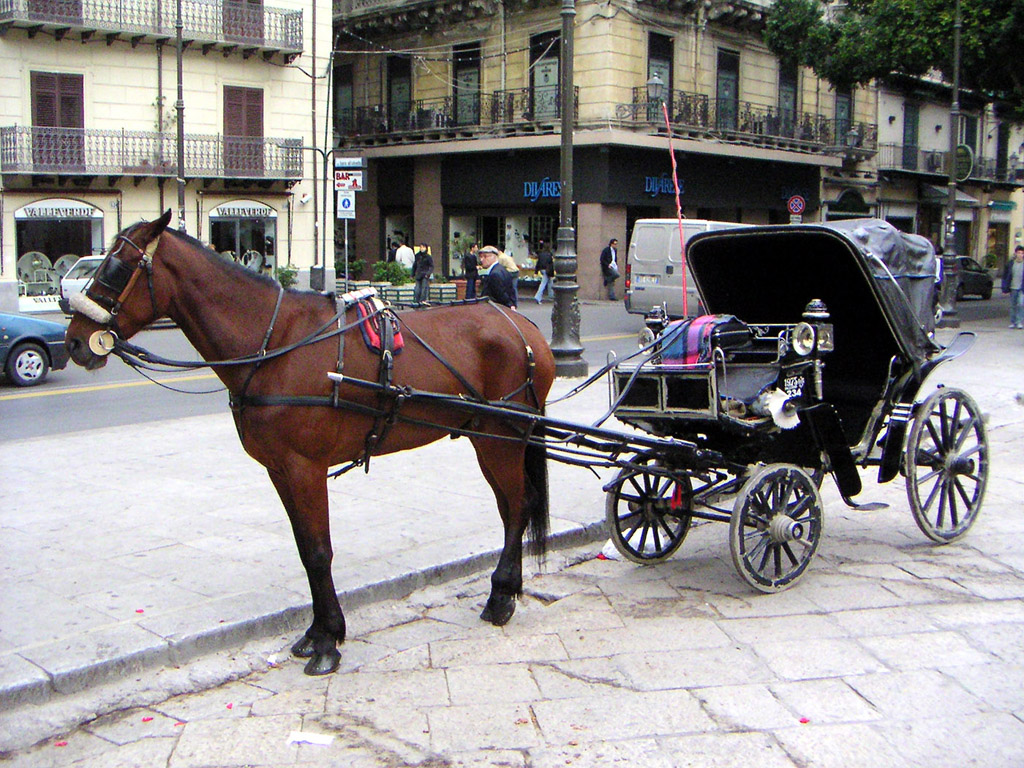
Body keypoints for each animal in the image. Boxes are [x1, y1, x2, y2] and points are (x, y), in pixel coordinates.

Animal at [64, 210, 557, 671]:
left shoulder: (305, 468)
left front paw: (327, 642)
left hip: (500, 439)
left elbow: (320, 552)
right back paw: (508, 589)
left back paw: (500, 597)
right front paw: (318, 631)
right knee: (512, 508)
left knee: (518, 505)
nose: (74, 342)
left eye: (116, 267)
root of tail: (525, 327)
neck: (276, 342)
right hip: (486, 438)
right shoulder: (281, 470)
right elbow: (305, 550)